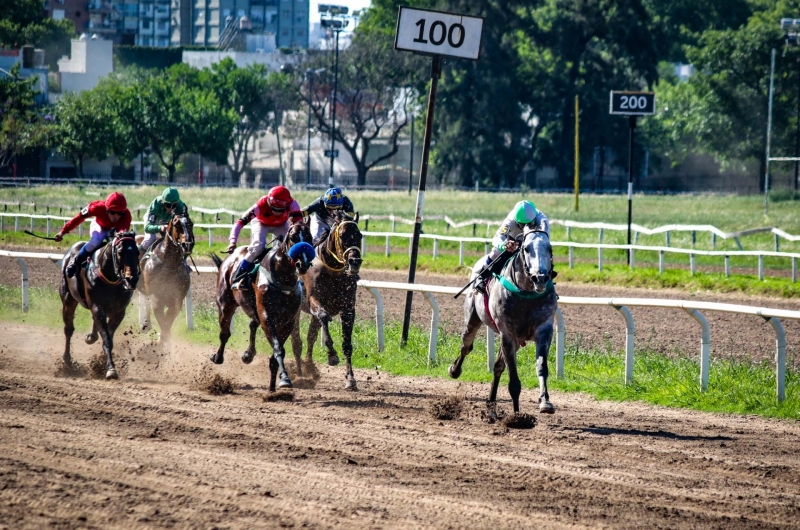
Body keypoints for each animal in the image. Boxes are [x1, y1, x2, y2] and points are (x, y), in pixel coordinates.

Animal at [59, 229, 141, 378]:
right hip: (68, 300)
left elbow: (109, 335)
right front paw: (110, 369)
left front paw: (103, 363)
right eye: (120, 252)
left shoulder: (118, 312)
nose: (131, 279)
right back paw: (67, 362)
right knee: (68, 329)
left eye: (137, 252)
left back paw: (91, 337)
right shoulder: (97, 307)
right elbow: (107, 338)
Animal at [136, 210, 195, 342]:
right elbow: (163, 323)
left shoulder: (176, 302)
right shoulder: (157, 300)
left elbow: (167, 324)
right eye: (177, 224)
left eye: (191, 224)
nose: (188, 245)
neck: (169, 265)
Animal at [209, 218, 312, 388]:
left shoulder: (288, 320)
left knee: (252, 325)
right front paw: (284, 378)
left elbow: (277, 351)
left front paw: (274, 385)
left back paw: (248, 354)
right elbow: (278, 349)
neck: (282, 278)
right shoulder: (267, 316)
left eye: (309, 237)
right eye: (293, 237)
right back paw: (218, 357)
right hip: (225, 304)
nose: (302, 264)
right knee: (224, 333)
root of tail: (232, 256)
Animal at [290, 209, 362, 388]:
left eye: (360, 235)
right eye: (342, 235)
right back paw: (300, 373)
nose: (355, 261)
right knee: (296, 342)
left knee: (310, 337)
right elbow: (323, 316)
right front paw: (332, 355)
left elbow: (347, 344)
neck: (333, 272)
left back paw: (309, 368)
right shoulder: (315, 301)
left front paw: (350, 378)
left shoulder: (348, 309)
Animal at [450, 229, 556, 414]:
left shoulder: (544, 330)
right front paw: (516, 414)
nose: (540, 278)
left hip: (517, 341)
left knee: (498, 365)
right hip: (472, 320)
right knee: (466, 346)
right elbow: (513, 378)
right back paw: (455, 370)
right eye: (526, 248)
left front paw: (545, 402)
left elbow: (541, 366)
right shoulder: (507, 333)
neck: (527, 295)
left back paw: (492, 401)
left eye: (549, 248)